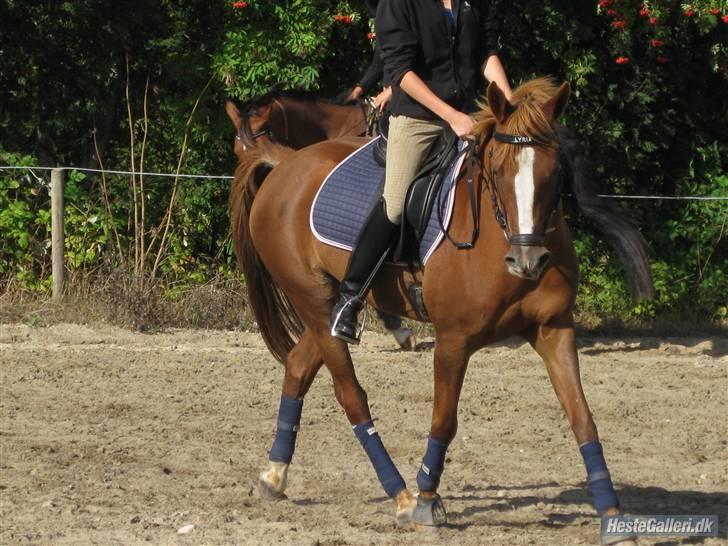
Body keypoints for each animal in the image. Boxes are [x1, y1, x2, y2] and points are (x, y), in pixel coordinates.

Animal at [229, 77, 648, 544]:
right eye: (497, 170)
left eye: (555, 171)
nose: (529, 261)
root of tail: (286, 164)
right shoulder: (453, 340)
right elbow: (444, 419)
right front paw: (427, 500)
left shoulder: (554, 329)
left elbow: (582, 417)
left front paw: (612, 515)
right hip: (312, 301)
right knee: (351, 396)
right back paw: (400, 495)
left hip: (325, 308)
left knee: (300, 366)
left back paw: (274, 475)